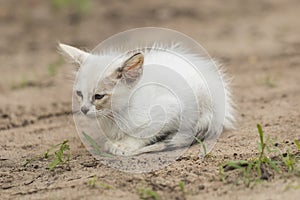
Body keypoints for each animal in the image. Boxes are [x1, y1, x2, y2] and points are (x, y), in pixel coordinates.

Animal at [58, 43, 236, 156]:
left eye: (98, 96)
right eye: (79, 94)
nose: (84, 109)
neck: (114, 115)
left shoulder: (170, 107)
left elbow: (145, 132)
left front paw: (123, 145)